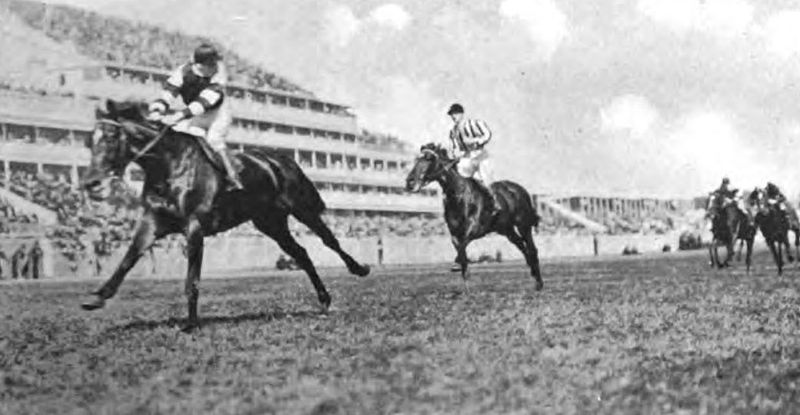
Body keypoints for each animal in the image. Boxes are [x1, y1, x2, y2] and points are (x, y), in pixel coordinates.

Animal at [81, 99, 368, 334]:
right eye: (89, 141)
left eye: (110, 138)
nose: (90, 182)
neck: (169, 167)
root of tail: (282, 160)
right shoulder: (153, 222)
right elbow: (128, 258)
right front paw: (98, 296)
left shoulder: (194, 227)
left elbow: (192, 279)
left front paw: (191, 324)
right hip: (270, 223)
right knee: (301, 254)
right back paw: (324, 299)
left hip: (303, 209)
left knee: (329, 241)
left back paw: (359, 268)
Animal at [406, 145, 544, 290]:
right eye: (417, 159)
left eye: (430, 159)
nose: (410, 182)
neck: (459, 196)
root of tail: (520, 190)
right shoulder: (454, 233)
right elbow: (459, 249)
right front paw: (464, 278)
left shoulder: (476, 229)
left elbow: (463, 246)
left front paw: (461, 267)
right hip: (507, 230)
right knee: (522, 247)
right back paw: (533, 273)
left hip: (523, 225)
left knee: (532, 249)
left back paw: (539, 282)